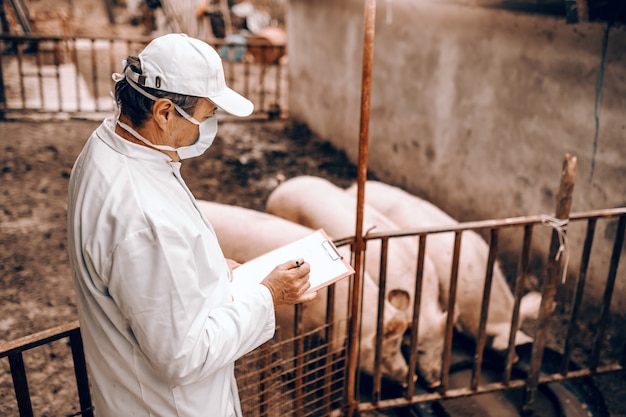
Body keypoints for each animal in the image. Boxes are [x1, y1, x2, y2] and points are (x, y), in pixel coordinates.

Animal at [195, 200, 410, 386]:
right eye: (389, 349)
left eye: (399, 344)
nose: (411, 375)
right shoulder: (288, 320)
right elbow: (289, 347)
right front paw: (290, 375)